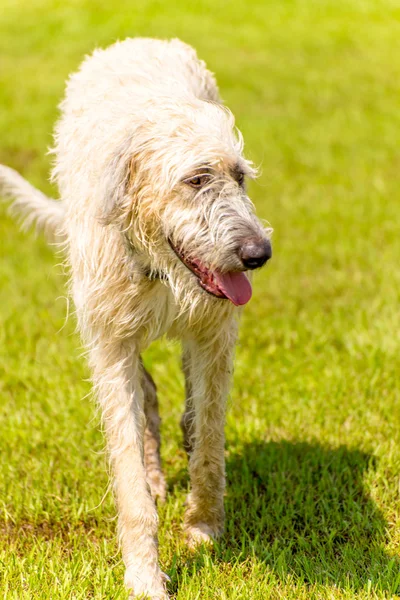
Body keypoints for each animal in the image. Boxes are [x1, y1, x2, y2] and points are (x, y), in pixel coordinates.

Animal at [0, 38, 272, 600]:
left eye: (239, 176)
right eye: (196, 179)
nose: (259, 253)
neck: (157, 265)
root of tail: (133, 42)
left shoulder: (215, 333)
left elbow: (209, 437)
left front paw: (204, 528)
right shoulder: (109, 344)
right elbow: (126, 458)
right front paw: (145, 575)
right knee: (145, 395)